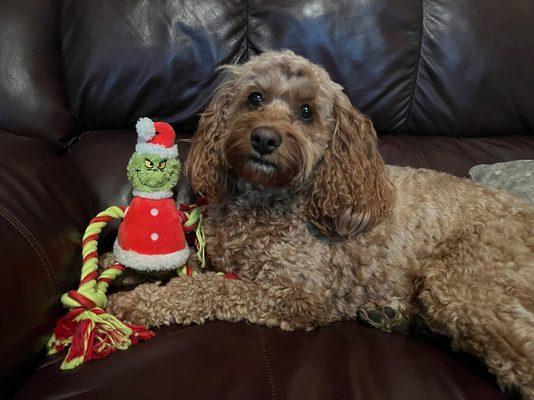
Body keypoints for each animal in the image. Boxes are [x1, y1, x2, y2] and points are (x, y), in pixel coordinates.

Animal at [109, 51, 534, 398]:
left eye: (307, 111)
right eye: (255, 98)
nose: (265, 138)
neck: (264, 202)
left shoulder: (299, 294)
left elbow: (210, 288)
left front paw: (135, 303)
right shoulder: (217, 253)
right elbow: (185, 264)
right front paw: (120, 270)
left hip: (464, 284)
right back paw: (389, 316)